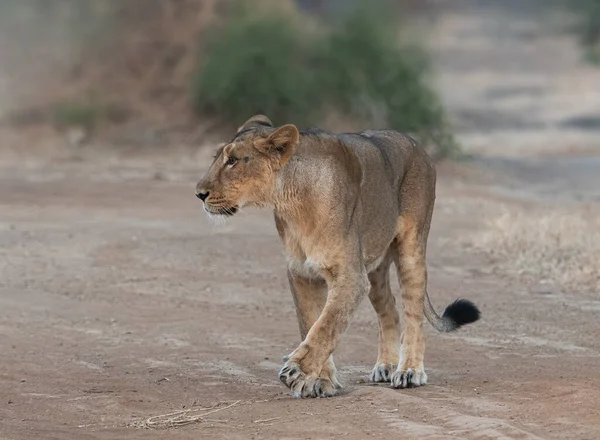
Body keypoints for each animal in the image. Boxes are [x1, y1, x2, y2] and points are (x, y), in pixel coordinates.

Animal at [195, 114, 480, 398]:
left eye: (233, 160)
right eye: (217, 157)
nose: (199, 193)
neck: (292, 206)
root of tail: (417, 145)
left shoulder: (350, 277)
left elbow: (327, 324)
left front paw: (297, 371)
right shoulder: (302, 273)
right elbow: (311, 322)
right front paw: (321, 380)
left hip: (411, 248)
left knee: (413, 311)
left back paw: (409, 370)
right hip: (374, 269)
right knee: (389, 309)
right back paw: (385, 366)